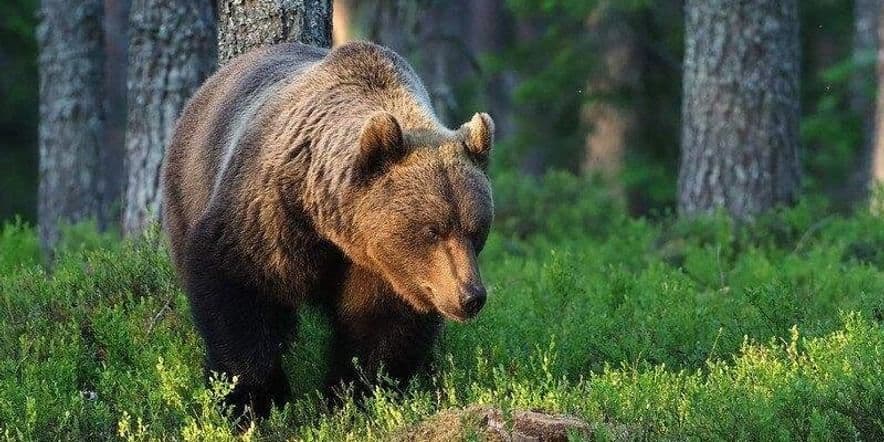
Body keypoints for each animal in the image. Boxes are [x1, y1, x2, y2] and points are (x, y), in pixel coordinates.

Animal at [162, 39, 494, 416]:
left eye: (476, 230)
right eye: (432, 230)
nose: (470, 297)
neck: (330, 225)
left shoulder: (384, 267)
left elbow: (378, 326)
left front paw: (354, 395)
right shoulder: (269, 215)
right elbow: (237, 287)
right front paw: (254, 398)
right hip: (187, 190)